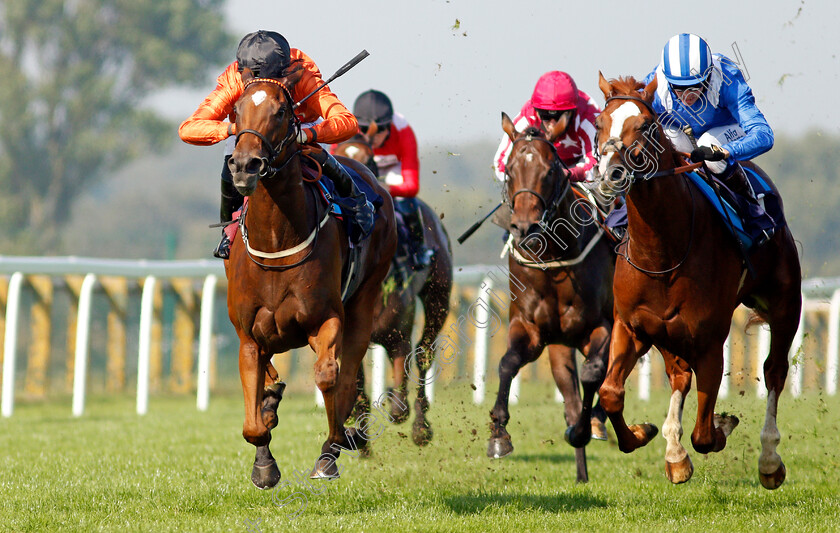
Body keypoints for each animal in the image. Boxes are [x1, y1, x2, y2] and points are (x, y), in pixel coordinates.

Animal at [221, 68, 396, 488]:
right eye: (236, 110)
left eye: (282, 111)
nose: (245, 165)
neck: (276, 238)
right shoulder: (248, 335)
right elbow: (254, 422)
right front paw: (264, 462)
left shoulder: (325, 319)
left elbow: (330, 377)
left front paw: (331, 452)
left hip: (365, 300)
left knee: (348, 375)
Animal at [334, 136, 456, 444]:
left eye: (370, 160)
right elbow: (358, 397)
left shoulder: (398, 337)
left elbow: (399, 406)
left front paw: (393, 402)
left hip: (438, 296)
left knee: (424, 353)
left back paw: (421, 428)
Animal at [486, 113, 616, 482]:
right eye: (510, 170)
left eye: (549, 171)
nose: (524, 228)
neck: (553, 255)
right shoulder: (531, 329)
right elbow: (507, 363)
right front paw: (498, 435)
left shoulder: (602, 325)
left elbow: (595, 373)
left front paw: (586, 428)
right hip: (560, 346)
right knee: (572, 398)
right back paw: (581, 474)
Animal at [596, 72, 800, 488]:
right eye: (599, 123)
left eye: (645, 126)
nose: (611, 175)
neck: (662, 251)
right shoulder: (632, 326)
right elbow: (610, 394)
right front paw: (644, 435)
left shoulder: (709, 340)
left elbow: (705, 434)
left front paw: (722, 424)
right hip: (666, 333)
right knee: (678, 376)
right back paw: (674, 452)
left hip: (786, 305)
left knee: (774, 372)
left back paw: (769, 460)